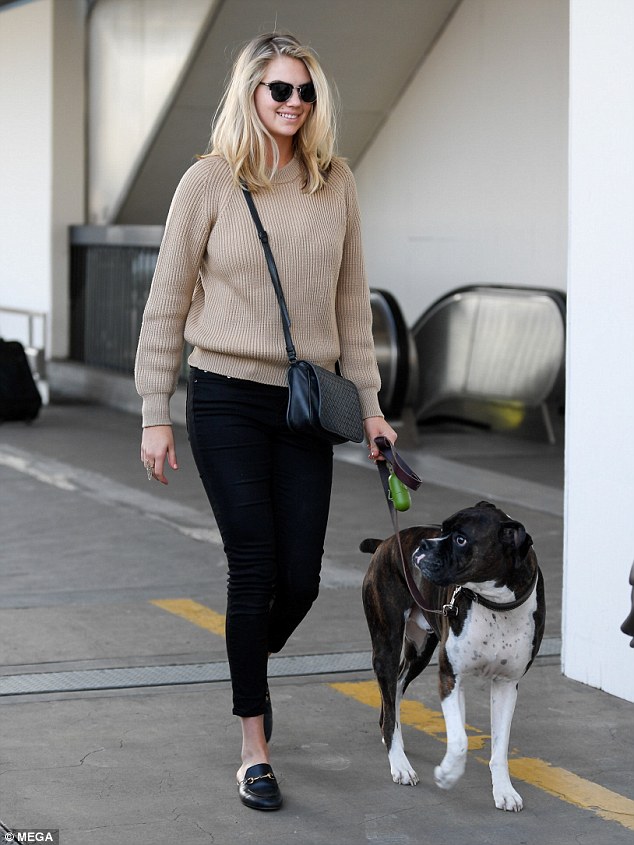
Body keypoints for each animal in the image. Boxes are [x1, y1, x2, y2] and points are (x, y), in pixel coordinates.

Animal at [360, 502, 544, 812]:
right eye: (442, 529)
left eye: (460, 539)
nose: (423, 545)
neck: (494, 604)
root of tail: (385, 543)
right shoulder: (450, 677)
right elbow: (459, 740)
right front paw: (447, 774)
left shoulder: (506, 685)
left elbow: (500, 746)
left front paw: (504, 791)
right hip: (386, 647)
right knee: (389, 695)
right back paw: (399, 763)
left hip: (420, 652)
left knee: (395, 690)